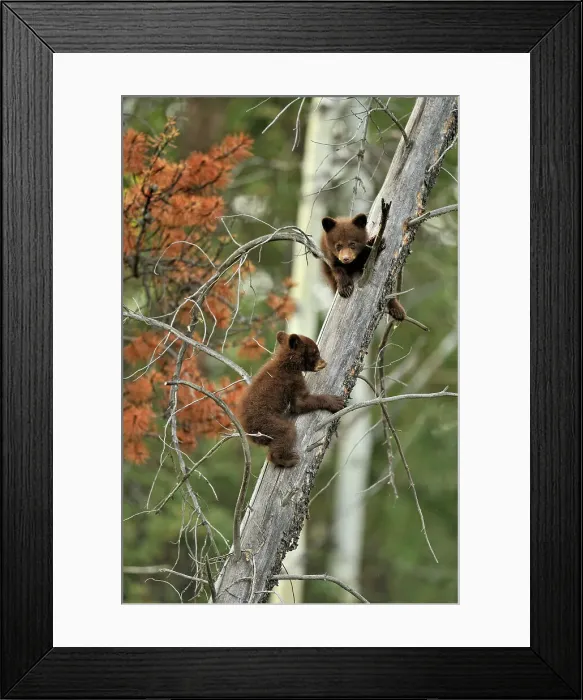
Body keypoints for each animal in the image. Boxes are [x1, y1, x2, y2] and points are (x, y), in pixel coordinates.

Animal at [239, 331, 344, 468]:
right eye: (315, 352)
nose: (324, 362)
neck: (288, 363)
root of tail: (248, 433)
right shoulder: (292, 379)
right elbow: (300, 402)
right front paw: (336, 401)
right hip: (265, 423)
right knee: (286, 432)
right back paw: (287, 459)